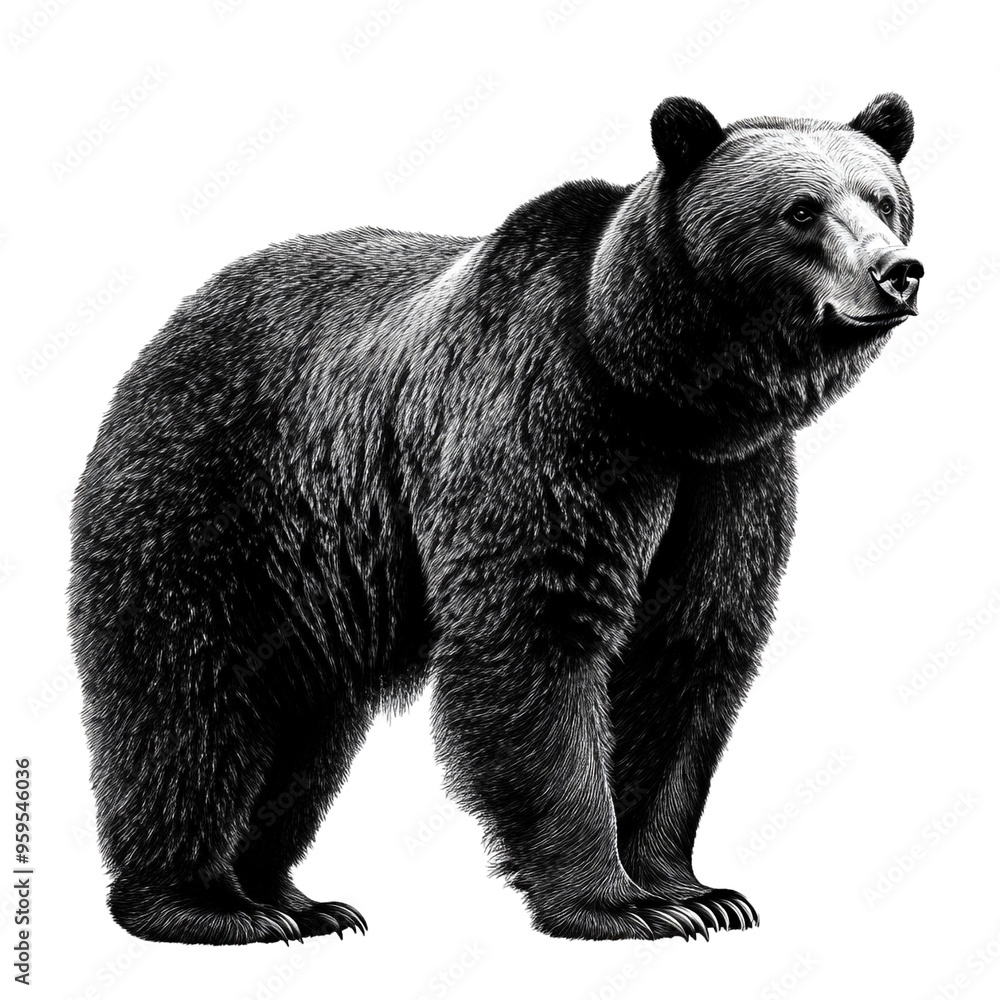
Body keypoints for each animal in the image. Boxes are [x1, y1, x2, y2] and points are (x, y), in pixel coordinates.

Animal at [69, 92, 921, 944]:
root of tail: (176, 321)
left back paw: (296, 900)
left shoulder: (724, 482)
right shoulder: (546, 420)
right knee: (190, 693)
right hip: (218, 492)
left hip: (320, 575)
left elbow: (684, 650)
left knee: (303, 724)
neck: (663, 391)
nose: (897, 271)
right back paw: (203, 902)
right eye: (801, 210)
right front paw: (615, 902)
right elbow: (538, 630)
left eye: (884, 201)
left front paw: (695, 892)